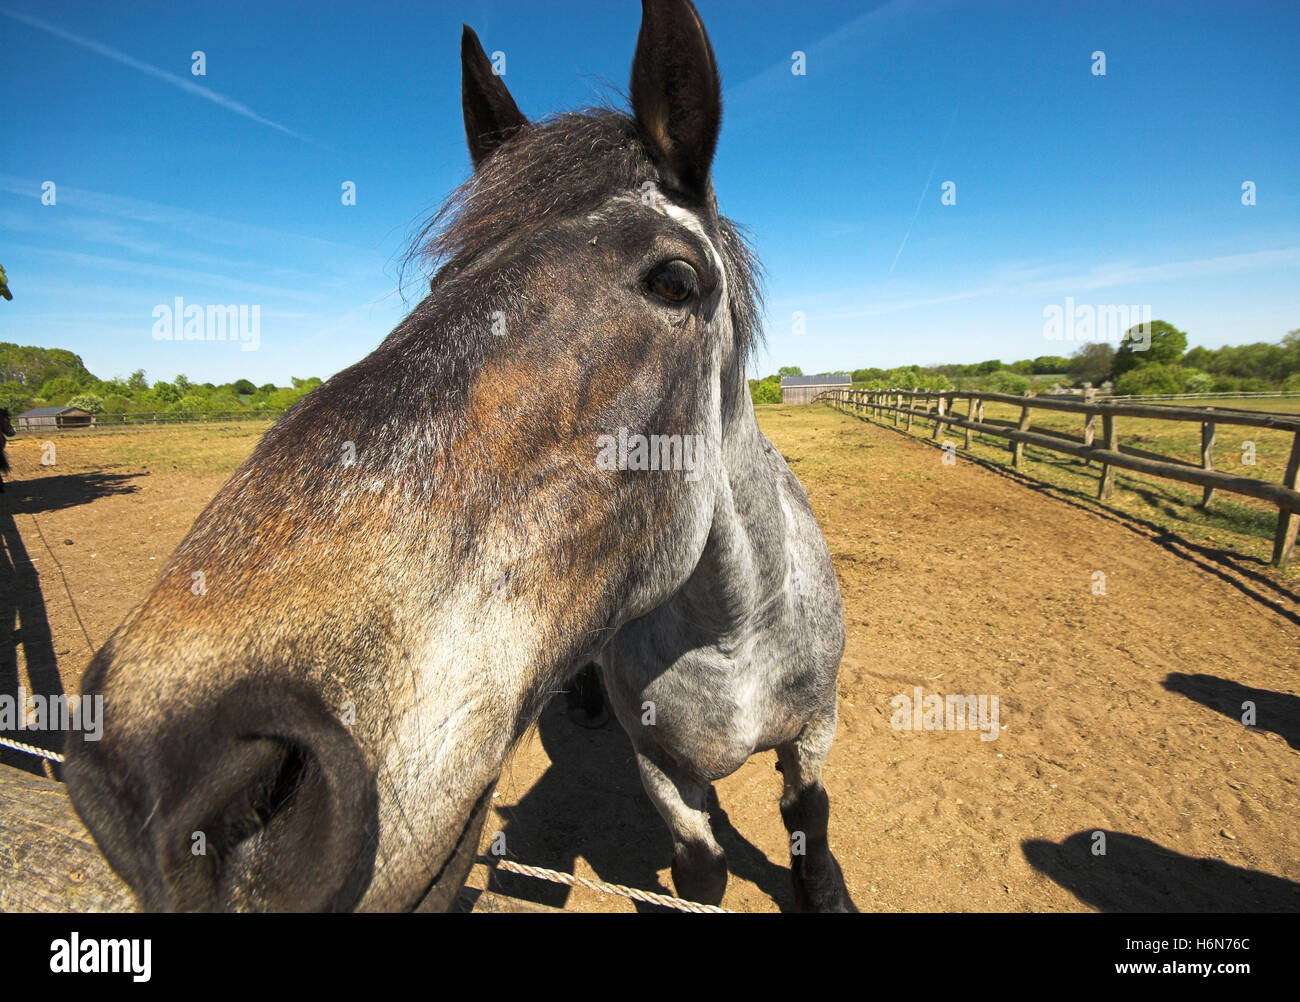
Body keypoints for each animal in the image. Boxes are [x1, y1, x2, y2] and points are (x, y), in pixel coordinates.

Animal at [63, 0, 852, 914]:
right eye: (443, 286)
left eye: (675, 281)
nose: (179, 765)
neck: (731, 632)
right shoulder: (663, 773)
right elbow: (697, 872)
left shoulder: (815, 732)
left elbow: (810, 823)